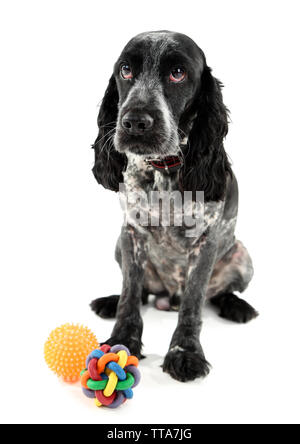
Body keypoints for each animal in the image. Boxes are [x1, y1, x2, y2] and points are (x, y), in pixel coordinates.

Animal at [89, 31, 258, 382]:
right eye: (126, 69)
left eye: (178, 73)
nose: (135, 122)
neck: (163, 171)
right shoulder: (132, 232)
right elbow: (130, 296)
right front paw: (121, 341)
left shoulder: (205, 241)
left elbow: (193, 304)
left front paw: (185, 353)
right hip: (119, 245)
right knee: (140, 291)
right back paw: (110, 301)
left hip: (242, 256)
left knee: (220, 293)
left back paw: (237, 307)